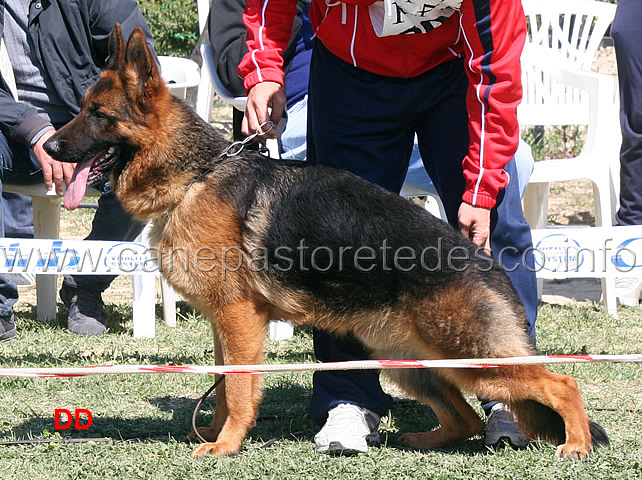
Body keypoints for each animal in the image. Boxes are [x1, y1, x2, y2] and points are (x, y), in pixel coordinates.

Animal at [43, 24, 604, 460]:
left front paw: (225, 444)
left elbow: (239, 389)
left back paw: (575, 444)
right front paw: (216, 435)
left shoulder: (239, 318)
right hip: (408, 359)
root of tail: (485, 263)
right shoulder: (226, 324)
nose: (48, 146)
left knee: (562, 383)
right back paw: (423, 440)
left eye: (98, 113)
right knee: (464, 416)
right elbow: (223, 386)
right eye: (82, 108)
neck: (196, 175)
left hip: (472, 358)